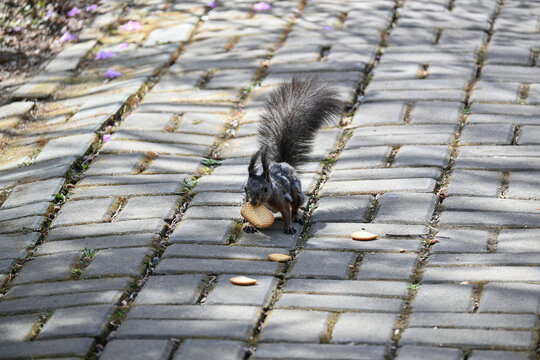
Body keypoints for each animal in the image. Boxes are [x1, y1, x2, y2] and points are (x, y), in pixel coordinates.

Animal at [245, 75, 342, 233]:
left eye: (265, 189)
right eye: (245, 188)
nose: (253, 202)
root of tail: (284, 163)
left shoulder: (282, 199)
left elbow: (286, 212)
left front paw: (289, 226)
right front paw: (249, 224)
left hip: (296, 192)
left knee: (295, 206)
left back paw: (297, 217)